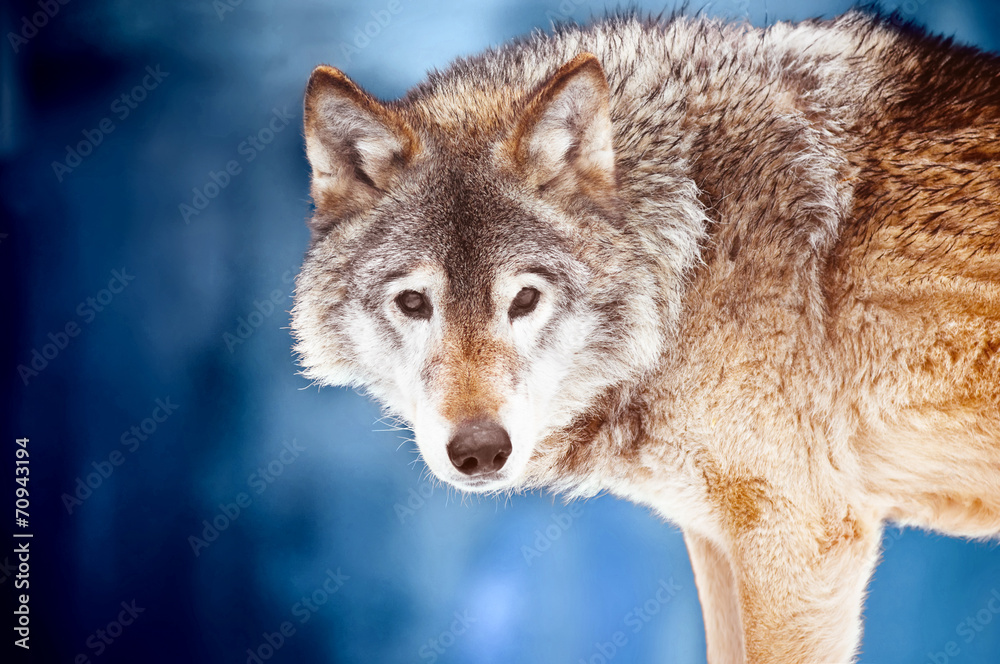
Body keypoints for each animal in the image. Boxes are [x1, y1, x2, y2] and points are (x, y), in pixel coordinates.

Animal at [291, 10, 1000, 663]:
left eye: (525, 299)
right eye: (414, 303)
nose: (480, 450)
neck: (690, 250)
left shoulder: (803, 541)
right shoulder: (718, 541)